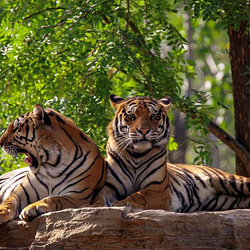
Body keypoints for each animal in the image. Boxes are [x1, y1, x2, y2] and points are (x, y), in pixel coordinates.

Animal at [92, 94, 250, 212]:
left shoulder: (157, 189)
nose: (144, 130)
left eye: (154, 116)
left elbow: (137, 195)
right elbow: (99, 198)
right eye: (132, 116)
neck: (137, 154)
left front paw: (120, 203)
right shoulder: (109, 186)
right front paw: (93, 207)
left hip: (230, 181)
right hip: (223, 200)